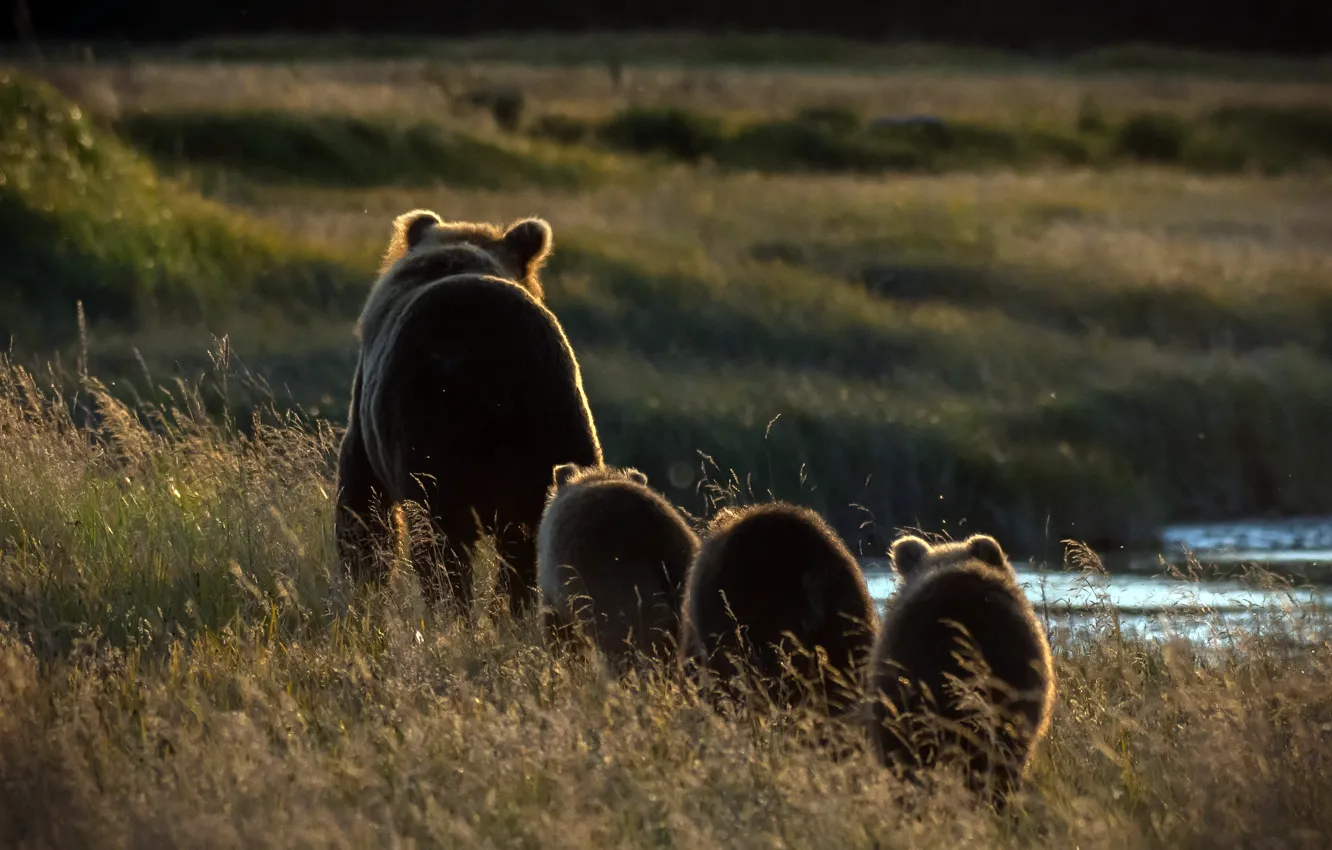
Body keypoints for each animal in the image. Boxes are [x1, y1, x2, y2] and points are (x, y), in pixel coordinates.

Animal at [333, 210, 604, 615]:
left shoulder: (369, 421)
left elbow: (363, 502)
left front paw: (364, 580)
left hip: (432, 429)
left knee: (441, 547)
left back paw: (451, 612)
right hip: (556, 423)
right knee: (532, 547)